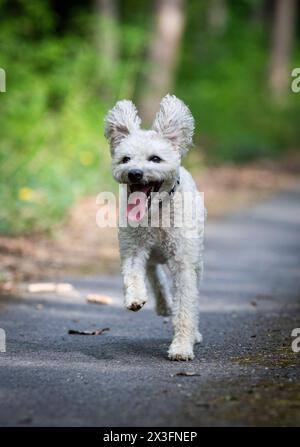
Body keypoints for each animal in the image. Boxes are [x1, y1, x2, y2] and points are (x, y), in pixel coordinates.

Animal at [104, 94, 205, 360]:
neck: (156, 212)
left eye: (155, 159)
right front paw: (136, 298)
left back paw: (193, 332)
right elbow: (132, 274)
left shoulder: (183, 263)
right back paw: (162, 304)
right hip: (152, 255)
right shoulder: (133, 247)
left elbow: (186, 307)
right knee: (154, 274)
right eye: (125, 159)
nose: (134, 173)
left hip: (196, 259)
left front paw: (182, 347)